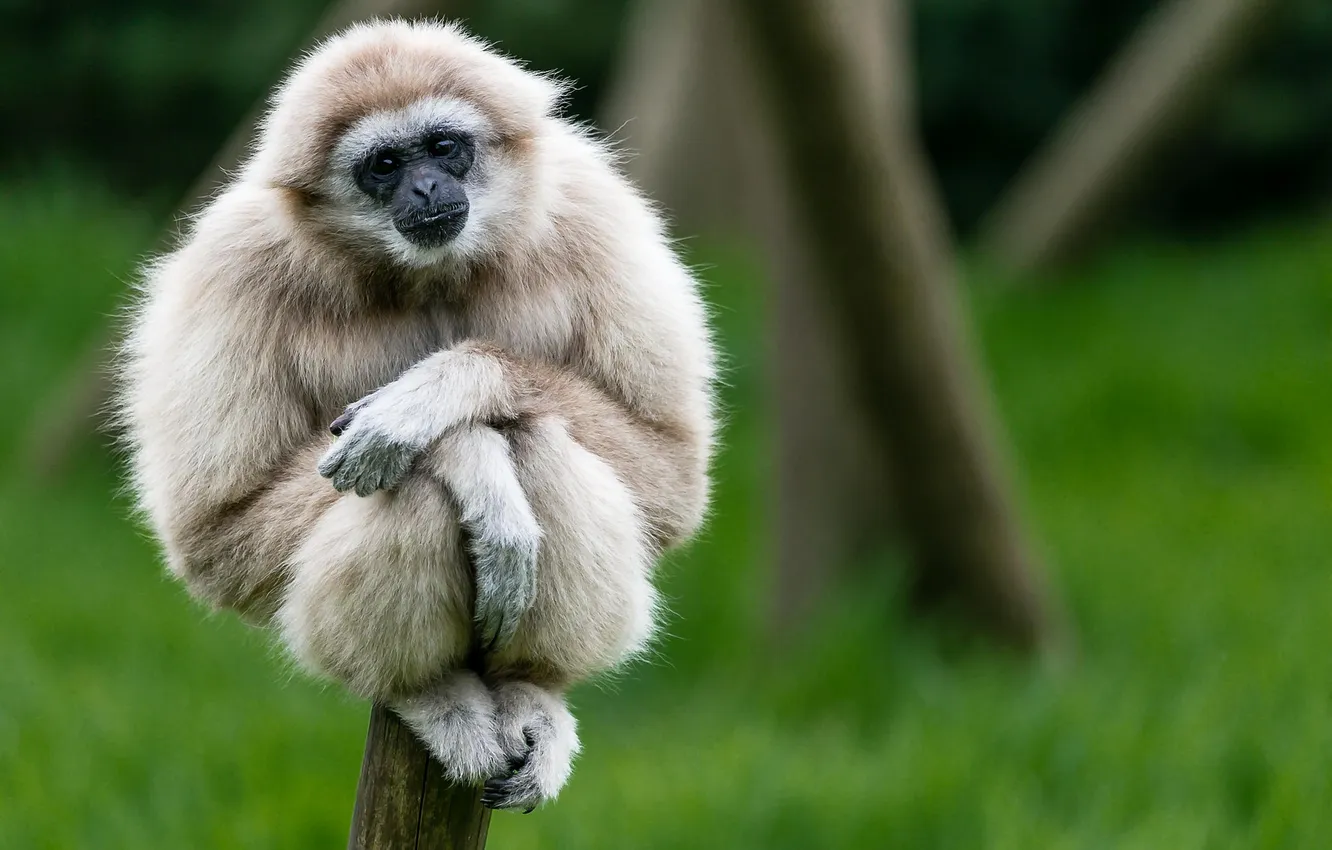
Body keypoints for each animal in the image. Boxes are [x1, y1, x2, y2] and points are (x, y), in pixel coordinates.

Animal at [116, 19, 716, 812]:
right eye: (385, 164)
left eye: (443, 146)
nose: (428, 185)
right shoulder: (233, 266)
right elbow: (216, 533)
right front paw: (463, 456)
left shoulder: (596, 210)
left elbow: (673, 474)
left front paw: (440, 392)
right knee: (414, 484)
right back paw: (429, 689)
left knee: (536, 437)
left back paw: (531, 687)